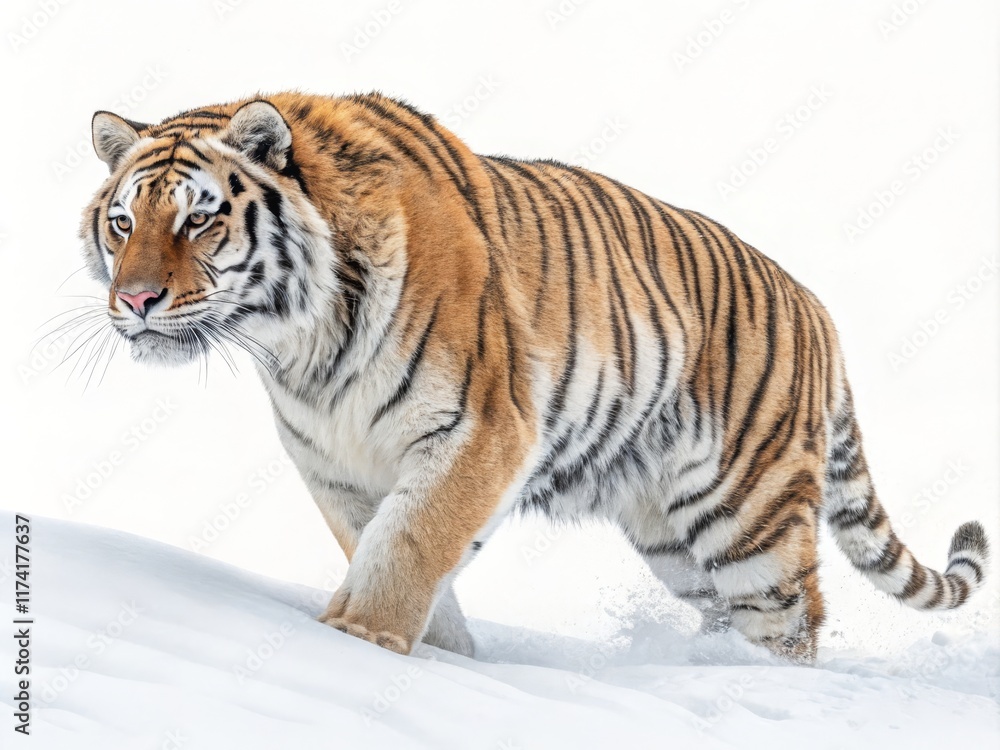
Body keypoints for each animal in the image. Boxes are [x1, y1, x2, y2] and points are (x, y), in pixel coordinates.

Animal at [80, 91, 989, 662]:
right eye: (123, 222)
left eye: (198, 220)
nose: (135, 300)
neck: (299, 341)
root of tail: (818, 309)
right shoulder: (335, 464)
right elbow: (389, 549)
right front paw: (443, 656)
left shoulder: (481, 429)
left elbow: (409, 543)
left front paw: (364, 645)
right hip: (674, 538)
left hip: (750, 520)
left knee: (790, 627)